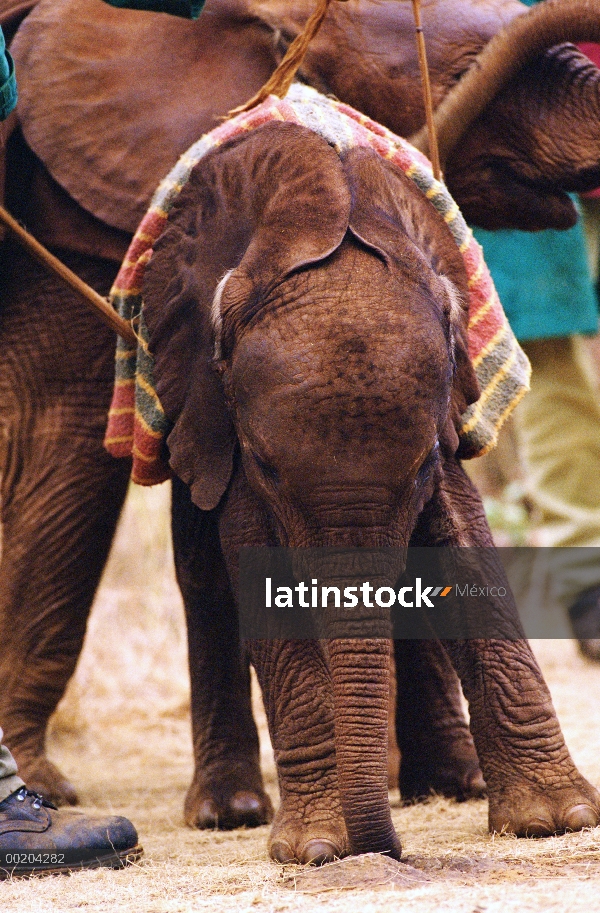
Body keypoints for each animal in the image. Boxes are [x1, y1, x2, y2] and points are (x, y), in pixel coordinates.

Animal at [0, 0, 596, 820]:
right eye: (457, 70)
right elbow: (66, 445)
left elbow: (451, 522)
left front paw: (540, 814)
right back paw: (230, 810)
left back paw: (441, 782)